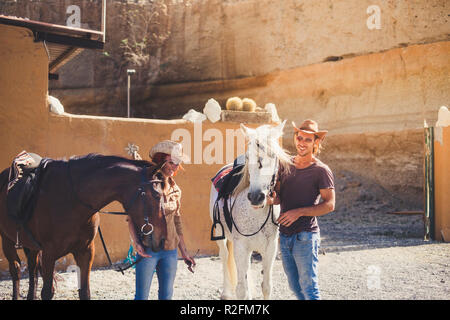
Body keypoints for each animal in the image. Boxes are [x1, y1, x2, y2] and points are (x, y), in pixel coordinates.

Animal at [0, 154, 167, 298]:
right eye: (157, 195)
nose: (163, 239)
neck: (72, 199)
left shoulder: (85, 252)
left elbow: (85, 292)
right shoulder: (49, 254)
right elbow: (47, 292)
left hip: (31, 245)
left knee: (32, 269)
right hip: (7, 240)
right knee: (16, 270)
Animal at [208, 120, 290, 300]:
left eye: (273, 156)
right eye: (247, 157)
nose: (255, 196)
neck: (256, 214)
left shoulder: (270, 248)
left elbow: (266, 286)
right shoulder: (241, 248)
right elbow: (241, 289)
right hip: (220, 234)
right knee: (225, 257)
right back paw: (226, 292)